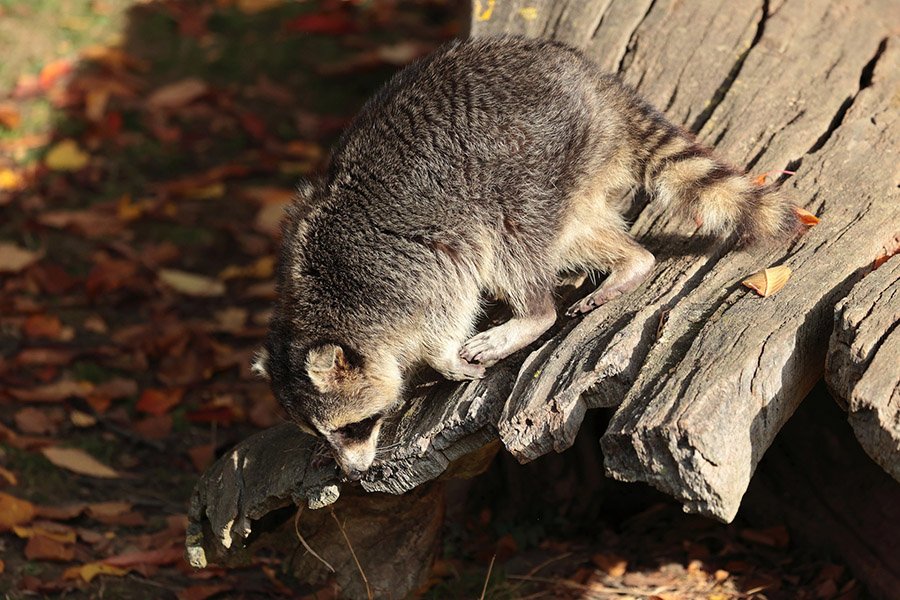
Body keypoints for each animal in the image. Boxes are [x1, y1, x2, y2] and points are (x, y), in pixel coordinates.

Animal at [250, 36, 800, 478]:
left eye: (354, 427)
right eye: (324, 435)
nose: (350, 471)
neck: (318, 309)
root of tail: (595, 82)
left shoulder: (408, 271)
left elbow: (449, 302)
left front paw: (442, 356)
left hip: (528, 162)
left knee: (510, 241)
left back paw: (532, 313)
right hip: (573, 165)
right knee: (578, 230)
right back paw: (631, 261)